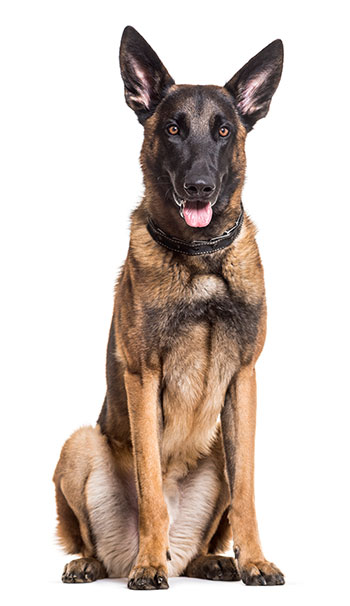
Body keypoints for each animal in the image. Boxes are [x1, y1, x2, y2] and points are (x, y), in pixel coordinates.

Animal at [54, 26, 284, 592]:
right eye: (175, 129)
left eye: (223, 131)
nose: (199, 186)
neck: (201, 261)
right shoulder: (143, 377)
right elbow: (152, 487)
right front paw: (148, 565)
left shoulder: (244, 379)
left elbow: (246, 493)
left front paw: (255, 561)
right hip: (79, 443)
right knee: (92, 537)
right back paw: (106, 562)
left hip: (218, 446)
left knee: (209, 533)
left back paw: (211, 561)